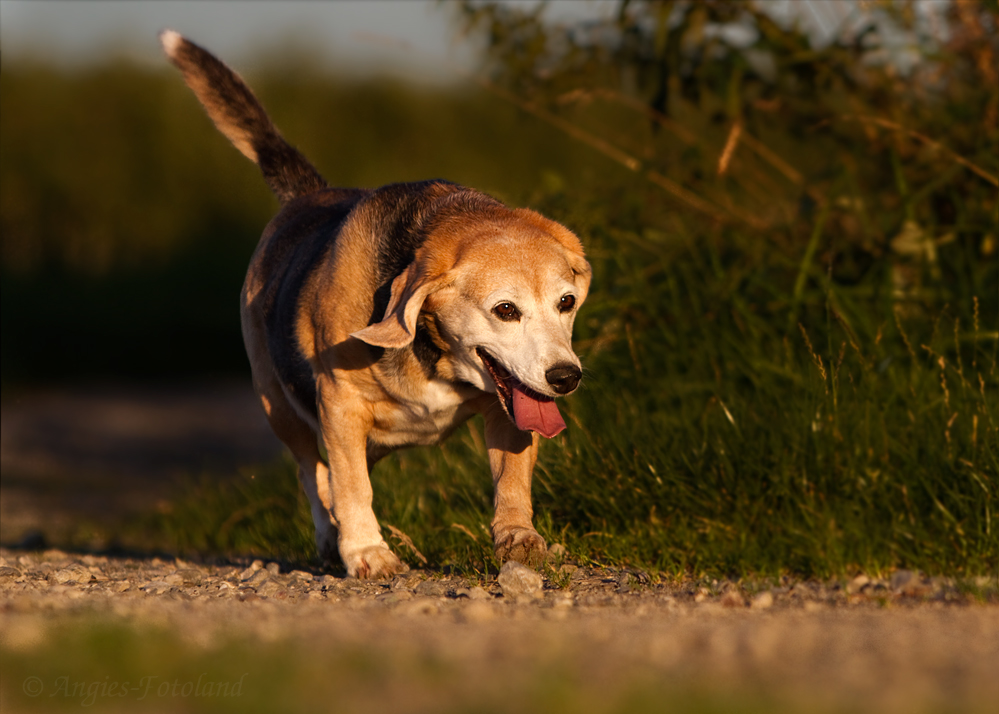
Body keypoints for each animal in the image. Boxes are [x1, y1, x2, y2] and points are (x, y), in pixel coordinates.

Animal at [160, 29, 588, 580]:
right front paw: (367, 552)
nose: (566, 377)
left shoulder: (510, 403)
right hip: (281, 407)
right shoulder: (339, 404)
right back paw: (331, 539)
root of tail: (309, 196)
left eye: (566, 302)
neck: (434, 354)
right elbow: (351, 486)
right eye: (505, 310)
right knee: (314, 475)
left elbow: (511, 475)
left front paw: (518, 537)